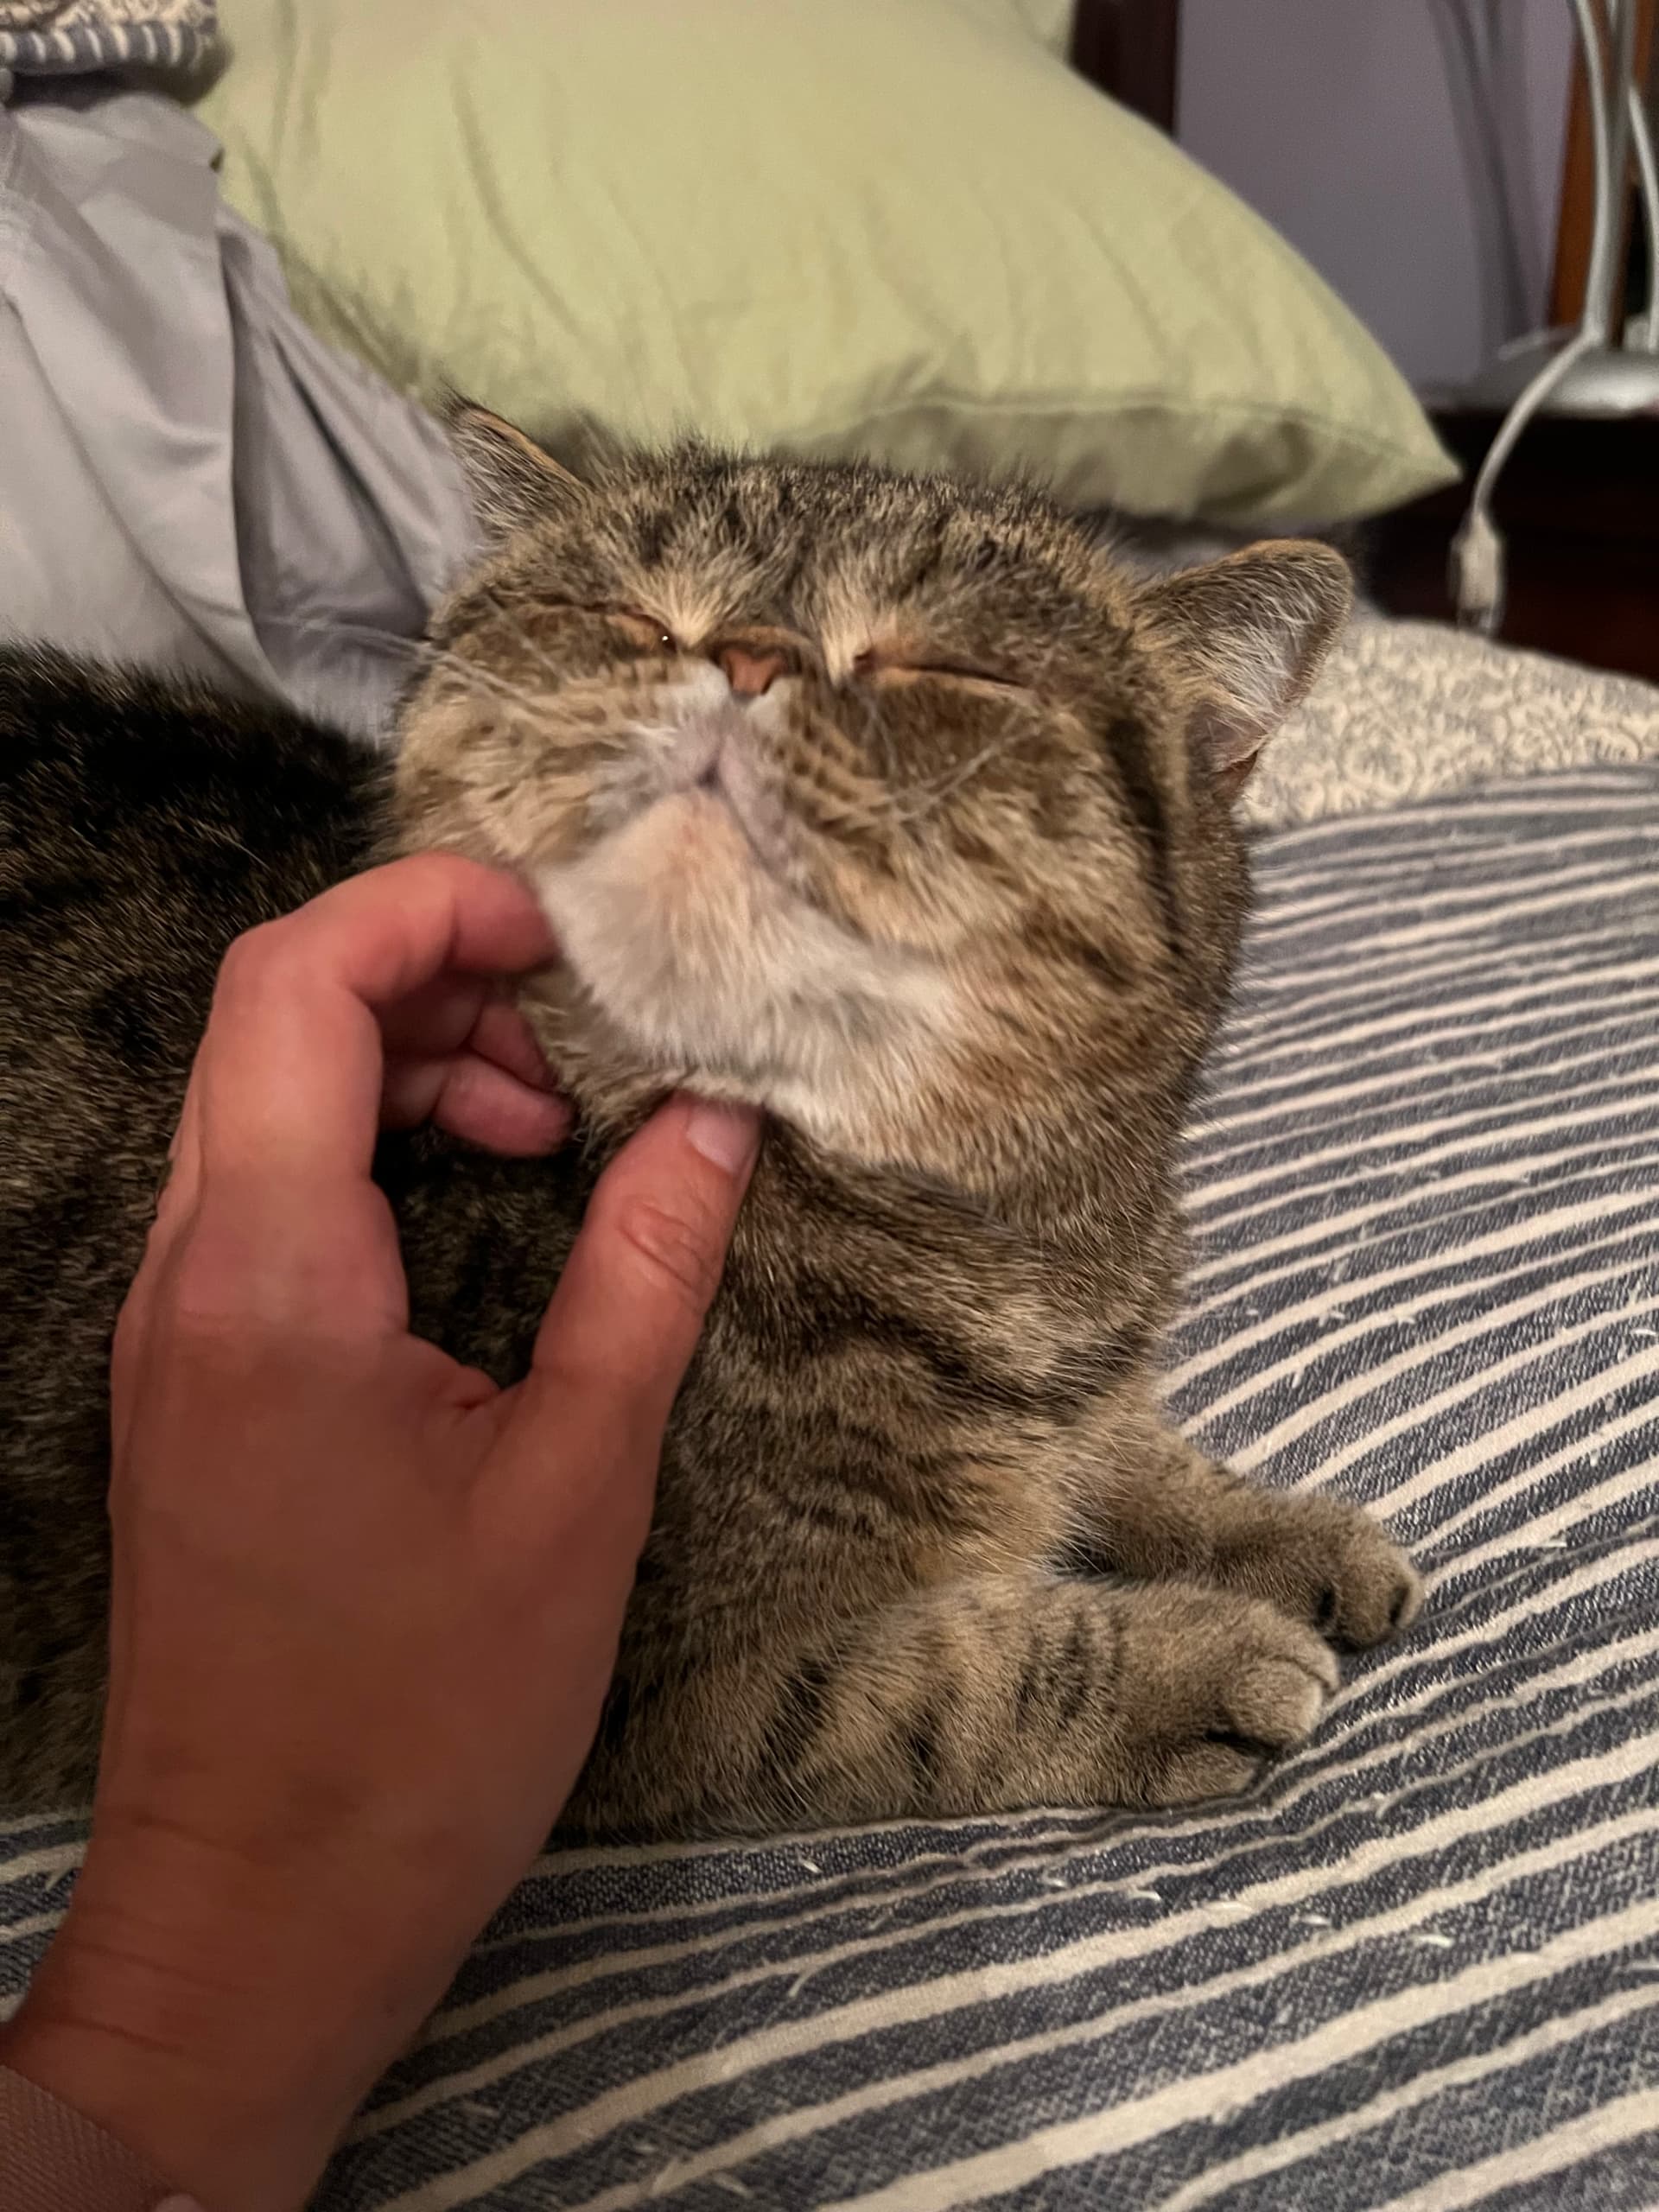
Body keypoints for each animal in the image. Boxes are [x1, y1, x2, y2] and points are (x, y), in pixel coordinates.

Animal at [0, 413, 1422, 1835]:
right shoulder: (644, 1690)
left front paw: (1285, 1533)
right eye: (639, 619)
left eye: (934, 665)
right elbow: (948, 1682)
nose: (745, 656)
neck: (984, 1255)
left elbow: (1126, 1450)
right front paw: (1189, 1661)